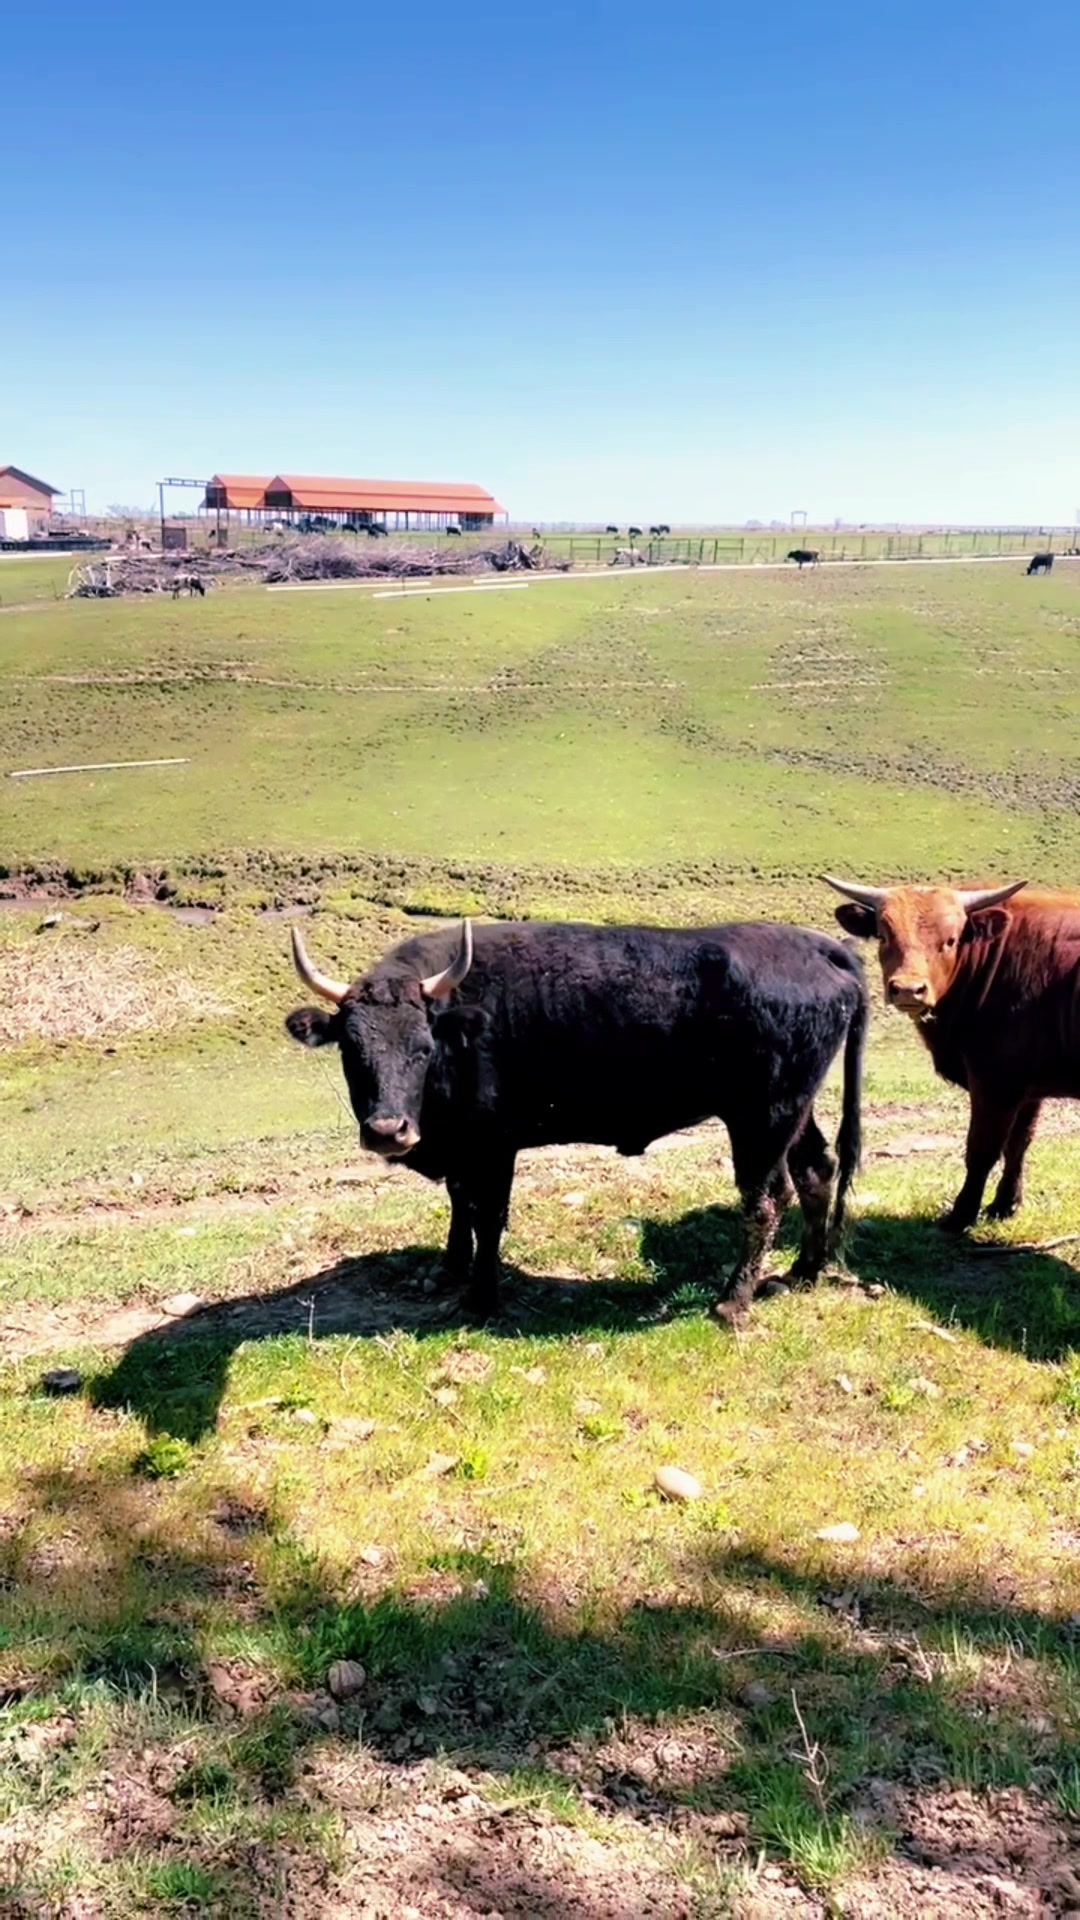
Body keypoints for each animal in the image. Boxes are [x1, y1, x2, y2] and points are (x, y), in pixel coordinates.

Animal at [285, 917, 868, 1319]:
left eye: (422, 1048)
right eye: (351, 1049)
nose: (388, 1132)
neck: (460, 1022)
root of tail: (823, 948)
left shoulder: (494, 1145)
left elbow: (487, 1215)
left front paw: (481, 1297)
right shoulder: (463, 1148)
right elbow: (459, 1202)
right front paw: (448, 1269)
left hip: (762, 1119)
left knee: (766, 1201)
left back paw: (732, 1301)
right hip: (795, 1112)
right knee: (816, 1171)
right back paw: (802, 1272)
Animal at [822, 875, 1080, 1232]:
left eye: (951, 940)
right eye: (884, 936)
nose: (908, 990)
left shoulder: (995, 1084)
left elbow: (982, 1150)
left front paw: (960, 1215)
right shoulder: (1028, 1088)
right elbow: (1018, 1144)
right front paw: (1004, 1204)